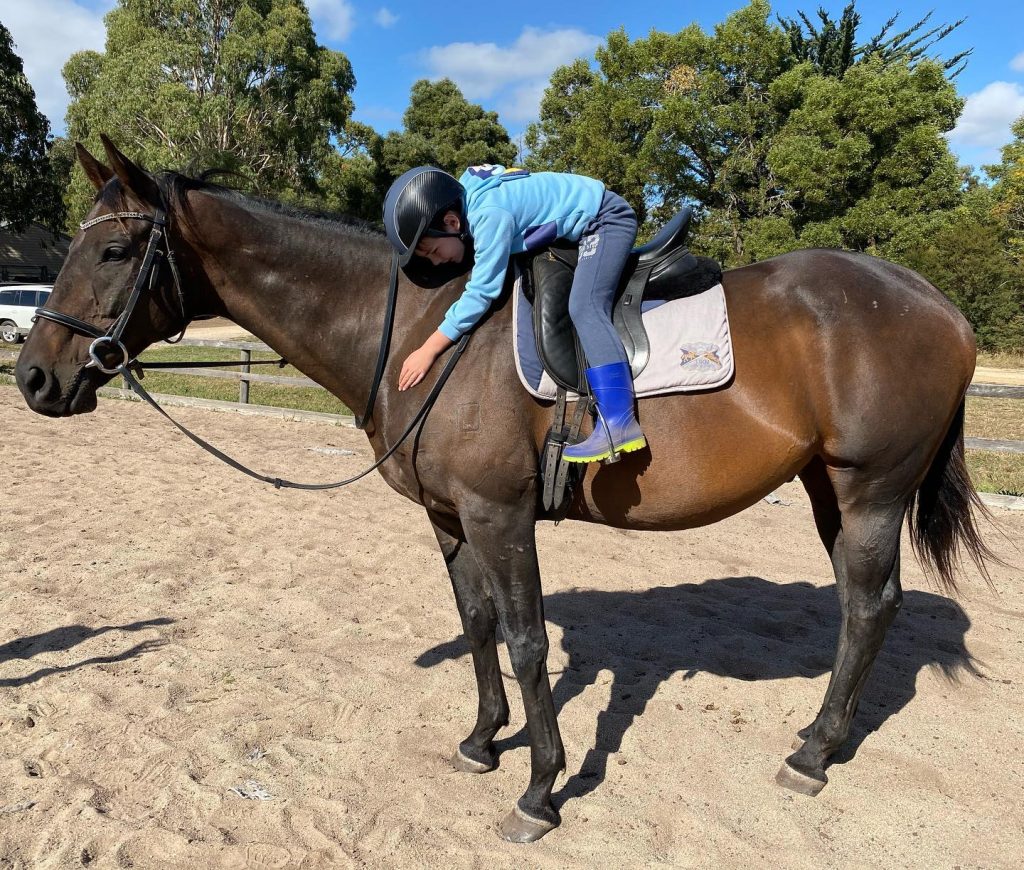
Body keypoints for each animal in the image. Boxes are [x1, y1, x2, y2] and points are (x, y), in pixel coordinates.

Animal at [14, 137, 991, 839]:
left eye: (113, 248)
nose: (33, 378)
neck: (419, 325)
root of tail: (938, 304)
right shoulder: (452, 517)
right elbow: (478, 624)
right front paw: (484, 741)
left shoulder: (500, 514)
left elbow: (527, 643)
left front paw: (540, 789)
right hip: (829, 489)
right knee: (864, 606)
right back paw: (814, 739)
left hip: (870, 493)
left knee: (868, 605)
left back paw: (816, 754)